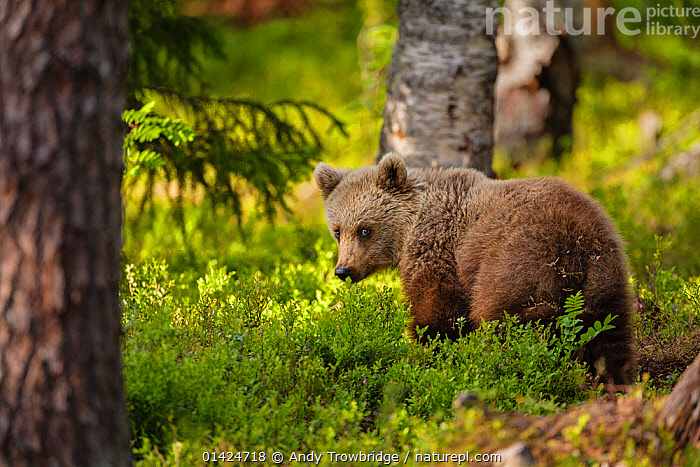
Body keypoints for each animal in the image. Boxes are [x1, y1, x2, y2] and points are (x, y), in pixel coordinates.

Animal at [314, 153, 637, 385]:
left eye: (364, 229)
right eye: (337, 230)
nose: (343, 270)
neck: (412, 228)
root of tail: (575, 239)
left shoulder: (440, 253)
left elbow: (435, 312)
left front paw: (429, 349)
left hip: (516, 261)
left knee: (508, 320)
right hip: (605, 273)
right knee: (611, 334)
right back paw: (614, 382)